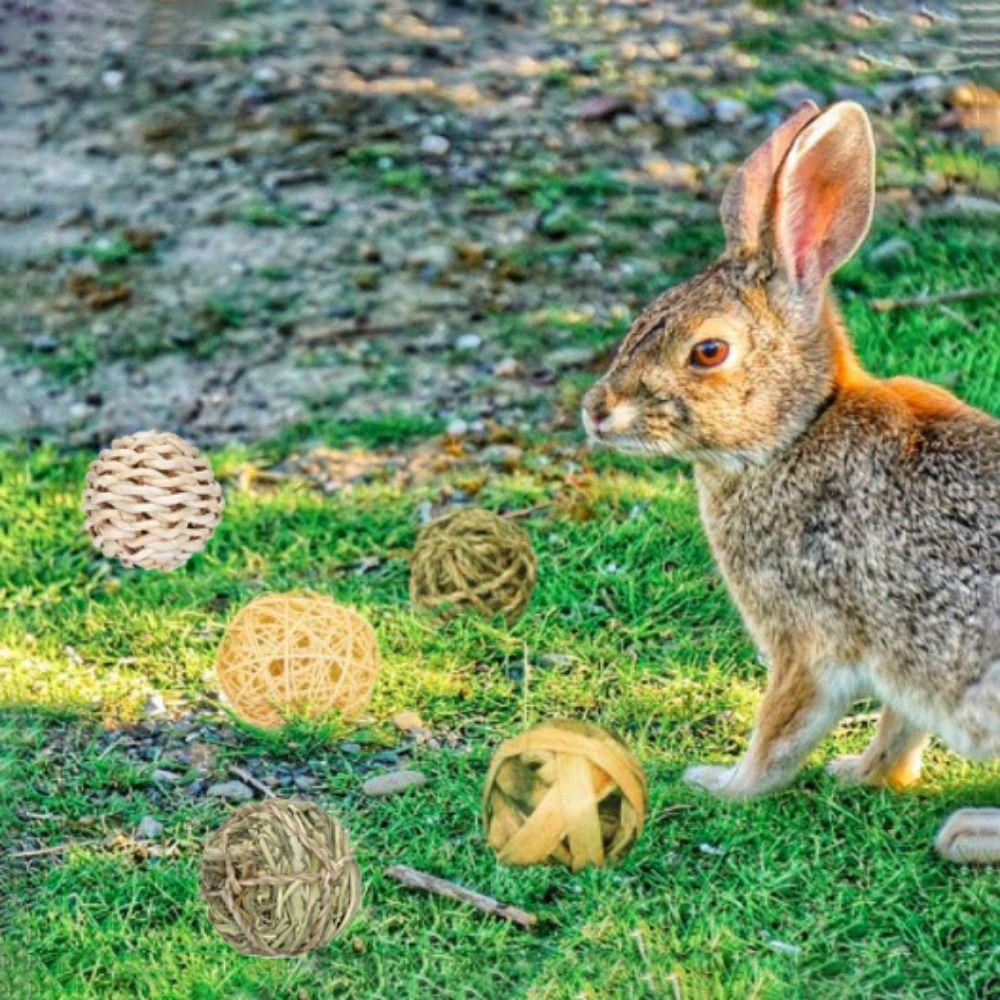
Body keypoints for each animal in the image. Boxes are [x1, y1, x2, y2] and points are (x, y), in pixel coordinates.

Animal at [581, 100, 1000, 863]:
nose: (596, 410)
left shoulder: (805, 641)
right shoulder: (904, 660)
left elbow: (779, 731)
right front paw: (860, 773)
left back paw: (967, 833)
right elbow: (898, 726)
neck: (797, 431)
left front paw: (721, 785)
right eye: (645, 317)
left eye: (708, 351)